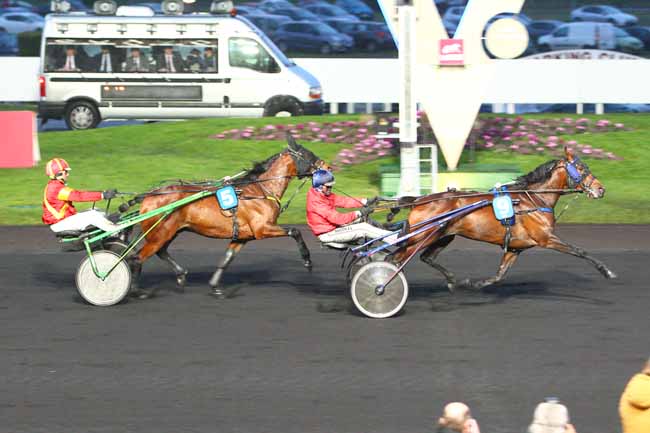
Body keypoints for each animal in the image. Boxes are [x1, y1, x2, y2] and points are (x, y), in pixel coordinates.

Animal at [129, 135, 327, 299]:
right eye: (308, 154)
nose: (327, 167)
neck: (260, 190)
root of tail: (148, 196)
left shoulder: (242, 236)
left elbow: (227, 258)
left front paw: (216, 287)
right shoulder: (262, 229)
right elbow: (295, 231)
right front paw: (307, 260)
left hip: (170, 231)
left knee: (160, 251)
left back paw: (180, 275)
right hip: (161, 232)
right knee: (138, 258)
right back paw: (138, 290)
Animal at [391, 146, 616, 291]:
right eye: (581, 168)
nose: (601, 189)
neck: (534, 199)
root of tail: (419, 199)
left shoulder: (516, 247)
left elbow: (500, 274)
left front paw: (474, 284)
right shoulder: (546, 238)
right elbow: (580, 251)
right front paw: (607, 271)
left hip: (444, 235)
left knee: (425, 257)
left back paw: (452, 280)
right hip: (420, 237)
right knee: (394, 259)